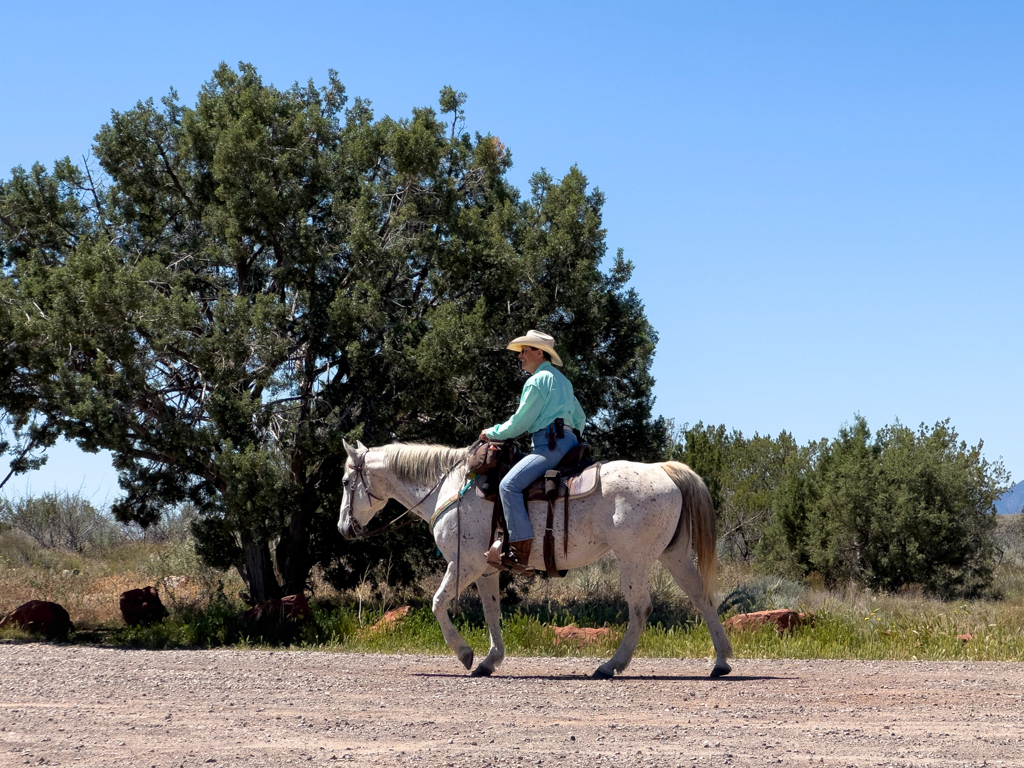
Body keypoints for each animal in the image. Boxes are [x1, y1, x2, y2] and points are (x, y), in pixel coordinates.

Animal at [339, 438, 733, 679]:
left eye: (345, 481)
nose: (344, 528)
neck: (450, 487)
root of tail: (664, 470)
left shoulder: (463, 564)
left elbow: (437, 603)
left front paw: (464, 654)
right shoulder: (486, 569)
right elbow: (492, 612)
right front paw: (489, 660)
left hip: (632, 559)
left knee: (640, 608)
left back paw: (610, 666)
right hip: (674, 555)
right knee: (702, 598)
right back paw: (721, 662)